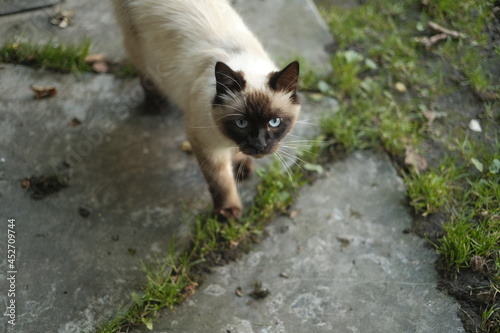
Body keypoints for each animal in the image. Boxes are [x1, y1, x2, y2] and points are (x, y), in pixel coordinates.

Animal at [112, 0, 300, 218]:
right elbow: (221, 182)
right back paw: (156, 104)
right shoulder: (206, 145)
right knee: (143, 71)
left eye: (274, 122)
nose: (259, 145)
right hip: (140, 49)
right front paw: (227, 214)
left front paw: (241, 165)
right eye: (242, 123)